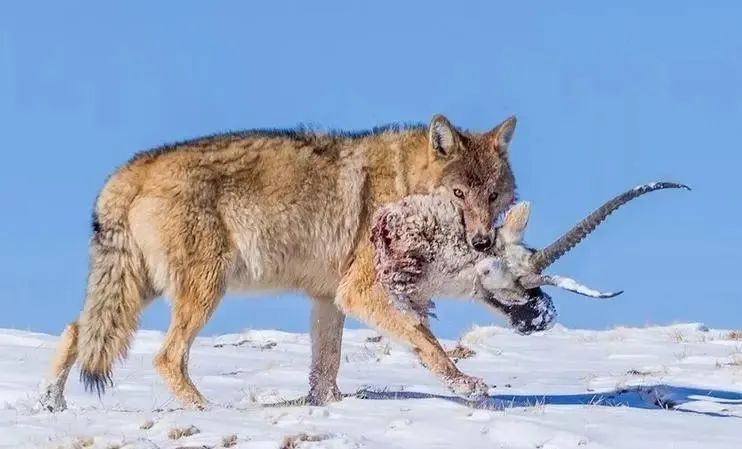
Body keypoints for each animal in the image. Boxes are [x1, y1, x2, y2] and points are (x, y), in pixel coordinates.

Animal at [37, 112, 520, 410]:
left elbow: (325, 367)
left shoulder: (330, 299)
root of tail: (130, 169)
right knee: (166, 357)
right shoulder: (360, 292)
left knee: (77, 329)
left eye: (493, 195)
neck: (404, 187)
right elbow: (426, 341)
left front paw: (330, 407)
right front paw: (468, 386)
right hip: (204, 290)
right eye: (458, 194)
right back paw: (206, 411)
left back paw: (51, 402)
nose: (481, 242)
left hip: (142, 289)